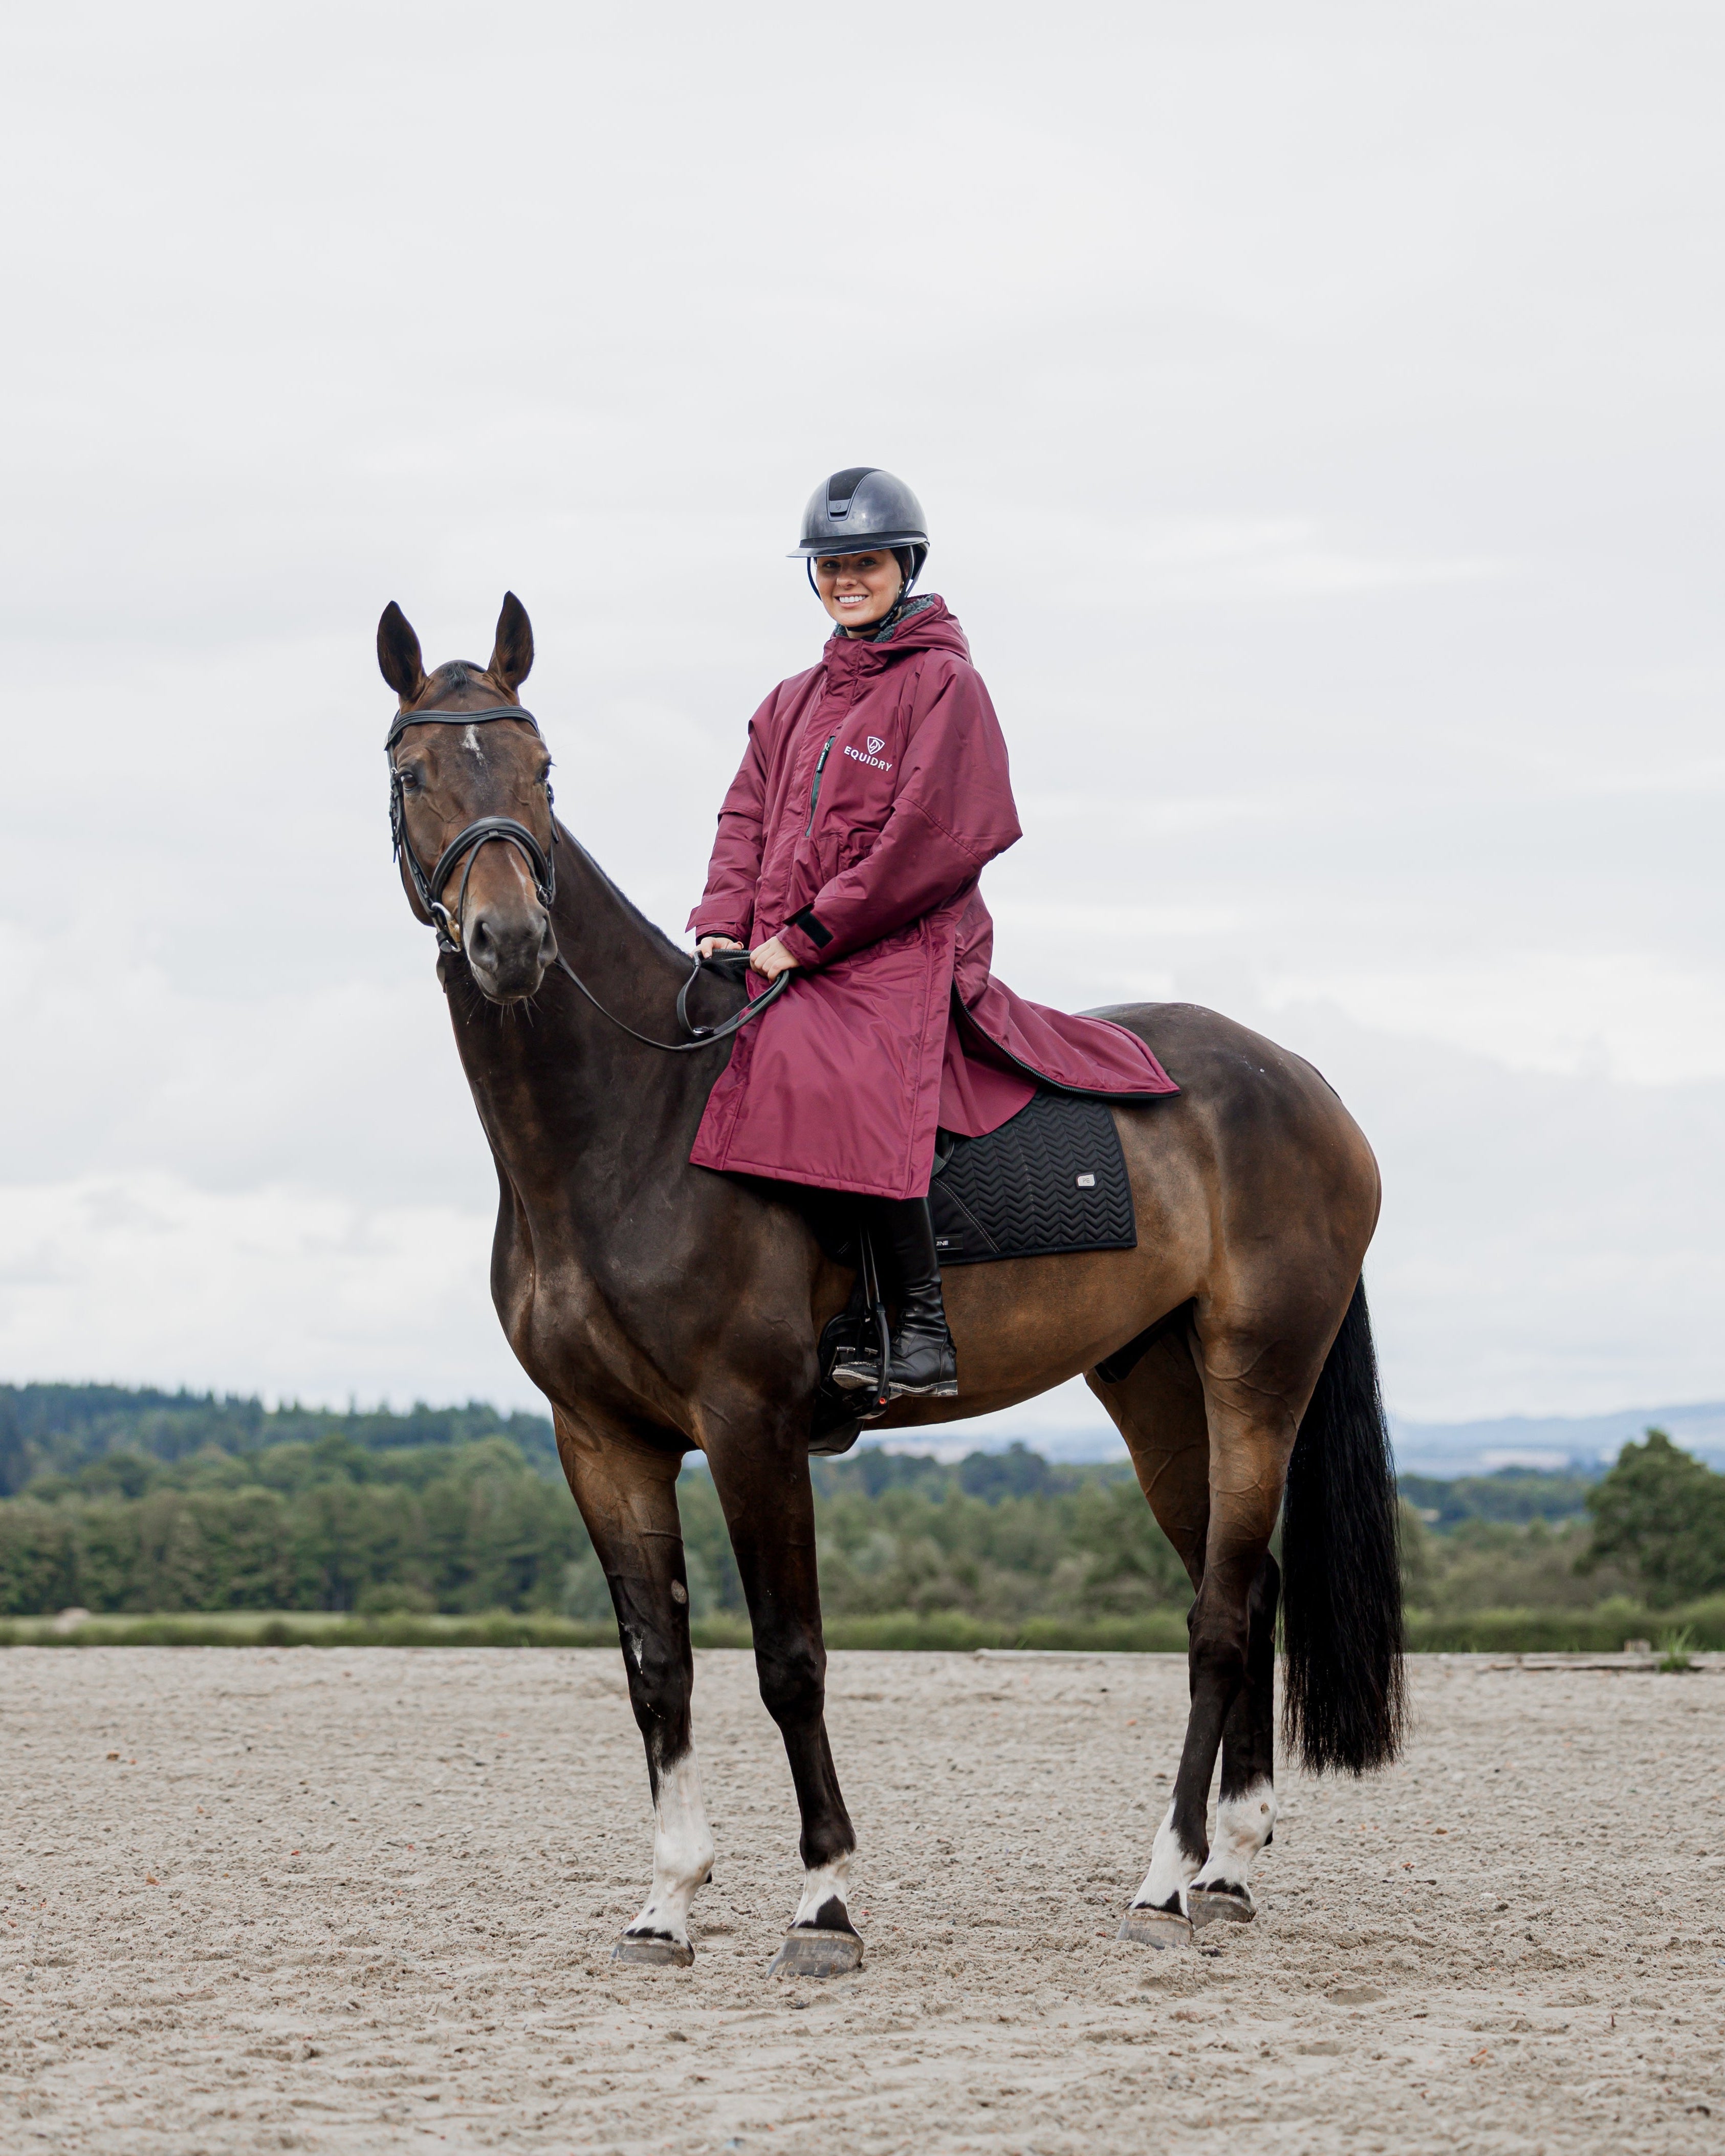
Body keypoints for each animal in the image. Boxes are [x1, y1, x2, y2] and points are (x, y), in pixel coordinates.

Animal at [376, 592, 1404, 1975]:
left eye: (543, 771)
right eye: (412, 774)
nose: (510, 941)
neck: (634, 1119)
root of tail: (1298, 1081)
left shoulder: (749, 1426)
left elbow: (788, 1659)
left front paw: (823, 1899)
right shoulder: (599, 1439)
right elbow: (657, 1666)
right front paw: (666, 1902)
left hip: (1258, 1373)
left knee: (1221, 1617)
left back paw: (1161, 1881)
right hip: (1152, 1386)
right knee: (1241, 1587)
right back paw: (1225, 1868)